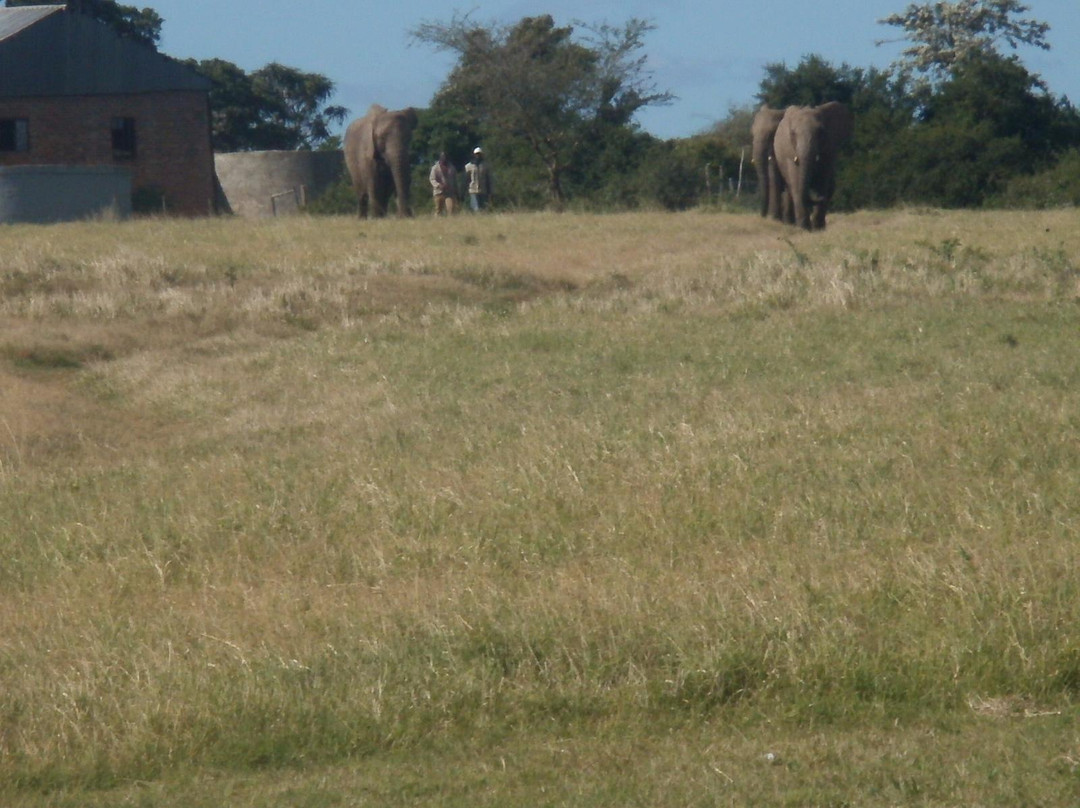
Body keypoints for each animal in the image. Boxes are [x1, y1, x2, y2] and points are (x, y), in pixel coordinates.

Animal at [773, 101, 854, 230]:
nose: (818, 197)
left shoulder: (829, 149)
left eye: (821, 132)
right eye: (793, 133)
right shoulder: (790, 153)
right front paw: (804, 228)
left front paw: (818, 228)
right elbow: (797, 183)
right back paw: (792, 224)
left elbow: (823, 179)